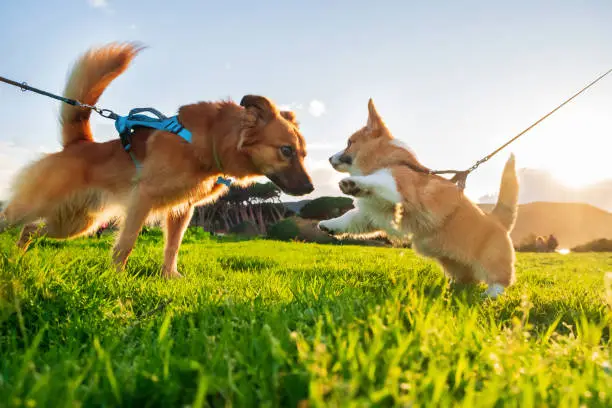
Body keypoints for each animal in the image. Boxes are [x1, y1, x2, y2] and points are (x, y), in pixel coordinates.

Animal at [0, 42, 314, 278]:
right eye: (286, 150)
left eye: (303, 153)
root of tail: (78, 145)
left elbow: (172, 247)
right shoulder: (143, 198)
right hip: (38, 206)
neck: (208, 141)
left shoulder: (181, 210)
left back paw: (17, 256)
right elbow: (126, 243)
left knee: (30, 229)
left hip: (76, 223)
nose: (311, 189)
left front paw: (169, 277)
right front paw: (115, 278)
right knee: (12, 220)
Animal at [318, 98, 520, 296]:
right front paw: (329, 225)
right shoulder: (371, 214)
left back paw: (490, 295)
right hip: (456, 265)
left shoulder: (400, 186)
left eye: (349, 143)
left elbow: (380, 180)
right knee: (469, 279)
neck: (390, 160)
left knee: (501, 281)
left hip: (492, 260)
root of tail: (498, 220)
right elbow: (348, 218)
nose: (329, 158)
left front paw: (354, 183)